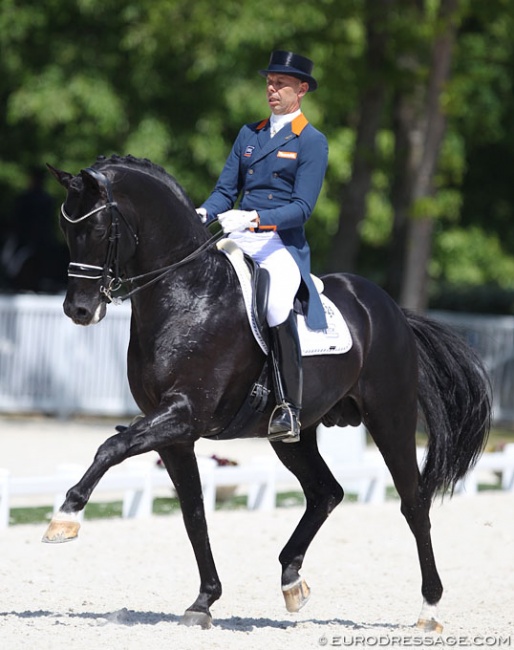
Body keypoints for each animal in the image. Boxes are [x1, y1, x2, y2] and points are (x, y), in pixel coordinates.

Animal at [43, 152, 488, 628]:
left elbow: (112, 447)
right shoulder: (175, 436)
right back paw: (292, 580)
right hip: (295, 434)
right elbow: (193, 512)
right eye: (65, 229)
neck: (186, 294)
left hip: (390, 419)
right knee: (326, 492)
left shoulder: (184, 413)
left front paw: (64, 517)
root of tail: (390, 309)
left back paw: (429, 608)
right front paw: (204, 601)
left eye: (98, 229)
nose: (79, 310)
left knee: (413, 502)